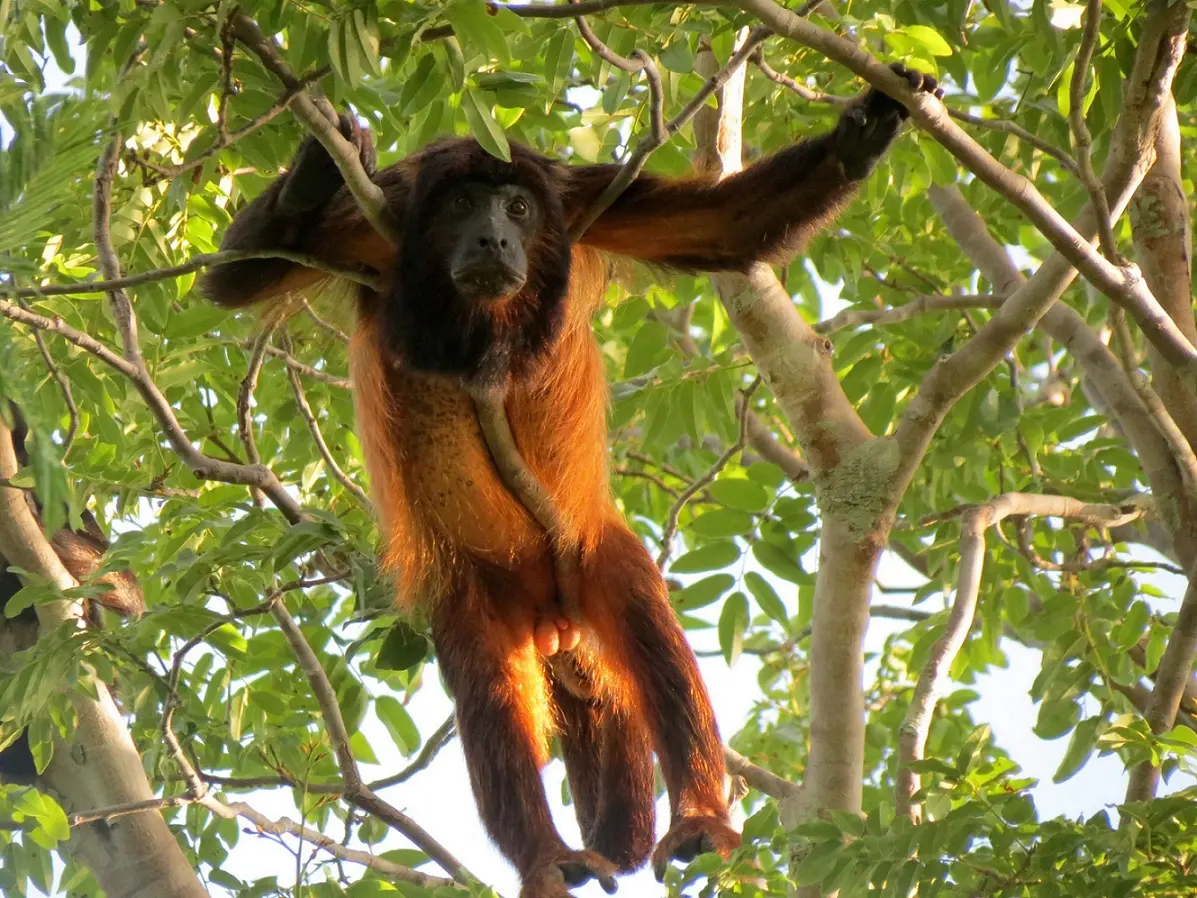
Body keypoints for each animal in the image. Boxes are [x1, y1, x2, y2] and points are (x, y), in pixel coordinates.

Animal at [200, 64, 940, 898]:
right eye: (463, 205)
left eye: (518, 208)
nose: (493, 237)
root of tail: (546, 607)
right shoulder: (379, 219)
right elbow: (236, 279)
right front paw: (314, 169)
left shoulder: (582, 202)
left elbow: (724, 226)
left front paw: (866, 127)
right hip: (472, 593)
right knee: (491, 699)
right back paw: (547, 855)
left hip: (591, 552)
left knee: (651, 640)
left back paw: (698, 820)